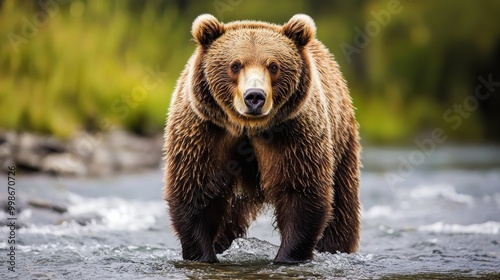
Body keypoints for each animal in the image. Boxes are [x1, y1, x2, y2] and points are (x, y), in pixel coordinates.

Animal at [164, 13, 360, 264]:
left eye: (273, 66)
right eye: (235, 65)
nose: (254, 96)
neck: (247, 128)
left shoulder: (293, 136)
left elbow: (301, 193)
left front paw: (286, 257)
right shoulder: (205, 132)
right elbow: (195, 190)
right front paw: (203, 255)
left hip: (341, 143)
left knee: (342, 210)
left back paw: (335, 247)